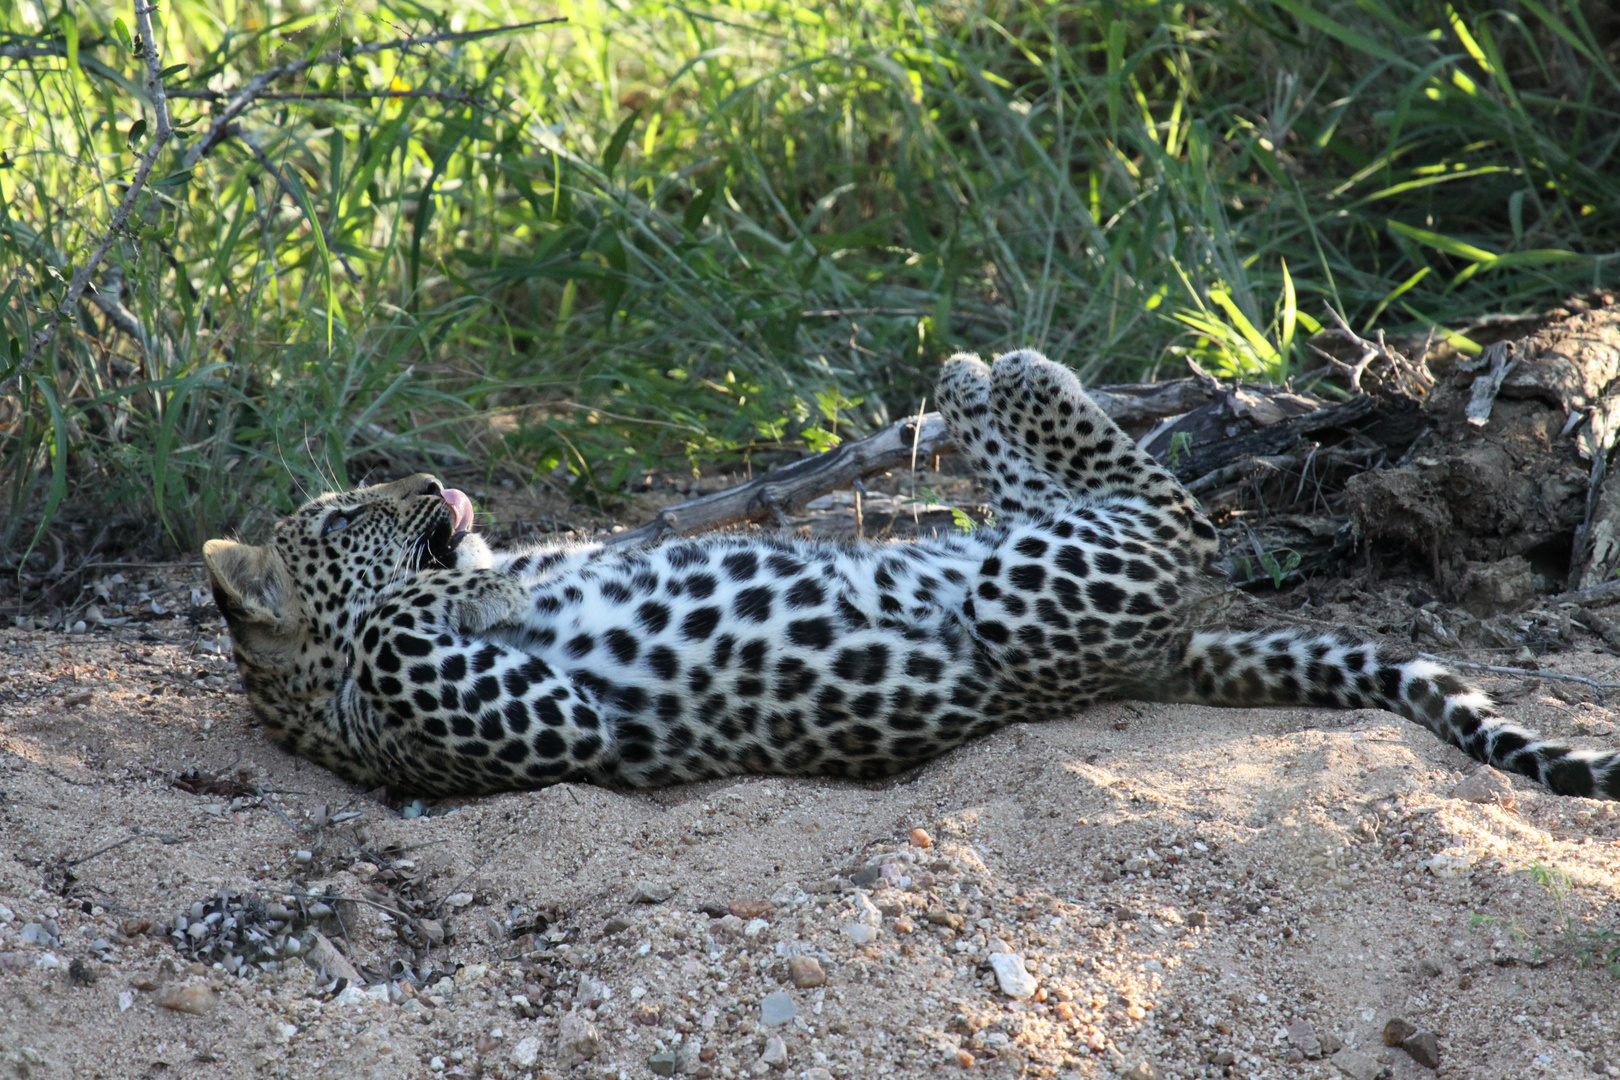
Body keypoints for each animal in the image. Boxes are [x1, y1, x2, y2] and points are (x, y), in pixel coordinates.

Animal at [202, 351, 1620, 799]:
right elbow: (410, 624)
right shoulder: (532, 725)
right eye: (349, 514)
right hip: (1042, 585)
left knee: (1123, 491)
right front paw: (463, 591)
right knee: (1169, 512)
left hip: (1014, 554)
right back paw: (1002, 375)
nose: (424, 483)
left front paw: (499, 571)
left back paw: (968, 382)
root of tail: (1169, 651)